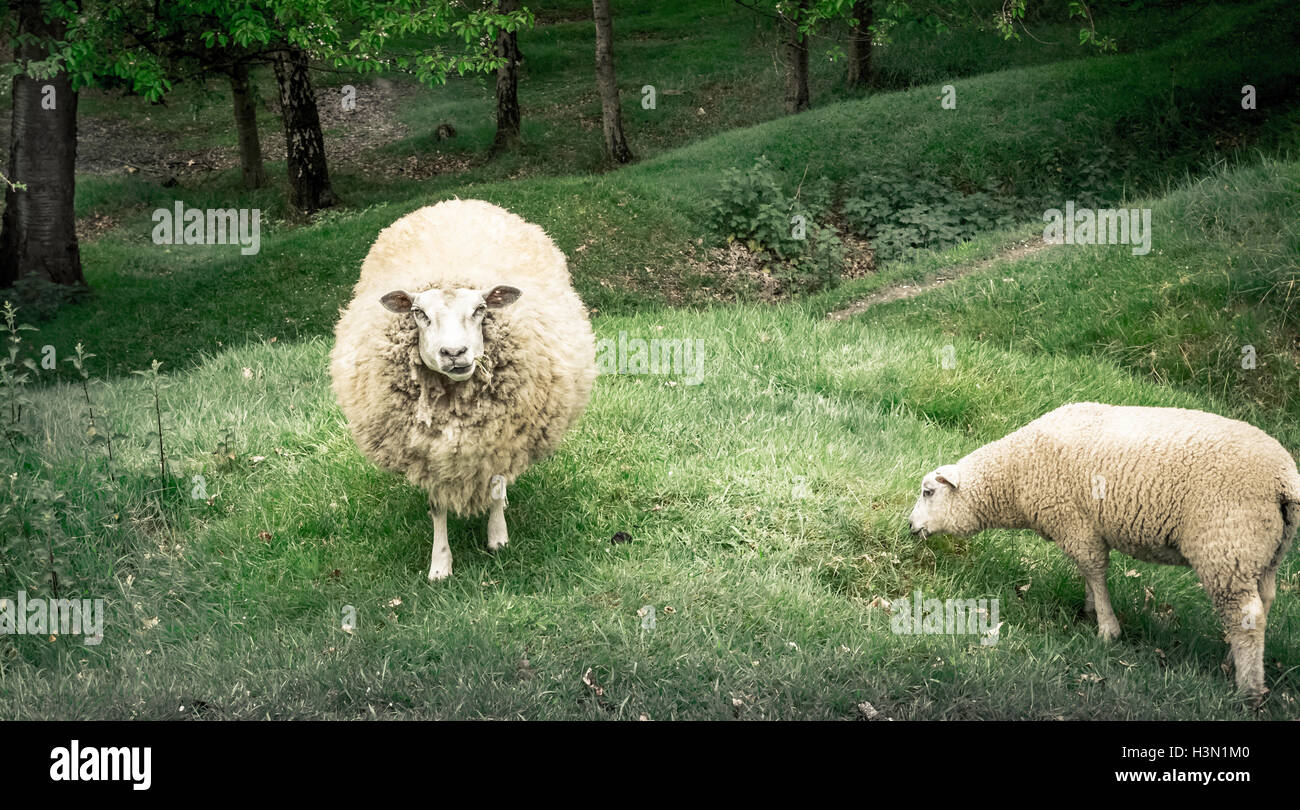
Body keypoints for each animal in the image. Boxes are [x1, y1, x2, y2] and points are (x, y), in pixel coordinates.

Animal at [335, 202, 598, 582]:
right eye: (418, 313)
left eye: (480, 309)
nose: (454, 352)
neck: (456, 407)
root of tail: (457, 202)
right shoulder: (429, 455)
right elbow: (437, 510)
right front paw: (440, 564)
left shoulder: (501, 436)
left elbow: (496, 485)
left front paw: (498, 537)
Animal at [909, 403, 1294, 691]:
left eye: (928, 492)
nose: (911, 528)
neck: (1016, 474)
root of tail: (1285, 479)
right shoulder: (1084, 526)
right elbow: (1088, 574)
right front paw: (1091, 608)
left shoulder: (1074, 521)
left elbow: (1094, 570)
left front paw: (1107, 629)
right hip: (1265, 552)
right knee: (1261, 604)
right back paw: (1234, 659)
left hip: (1227, 544)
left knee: (1246, 613)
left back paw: (1248, 689)